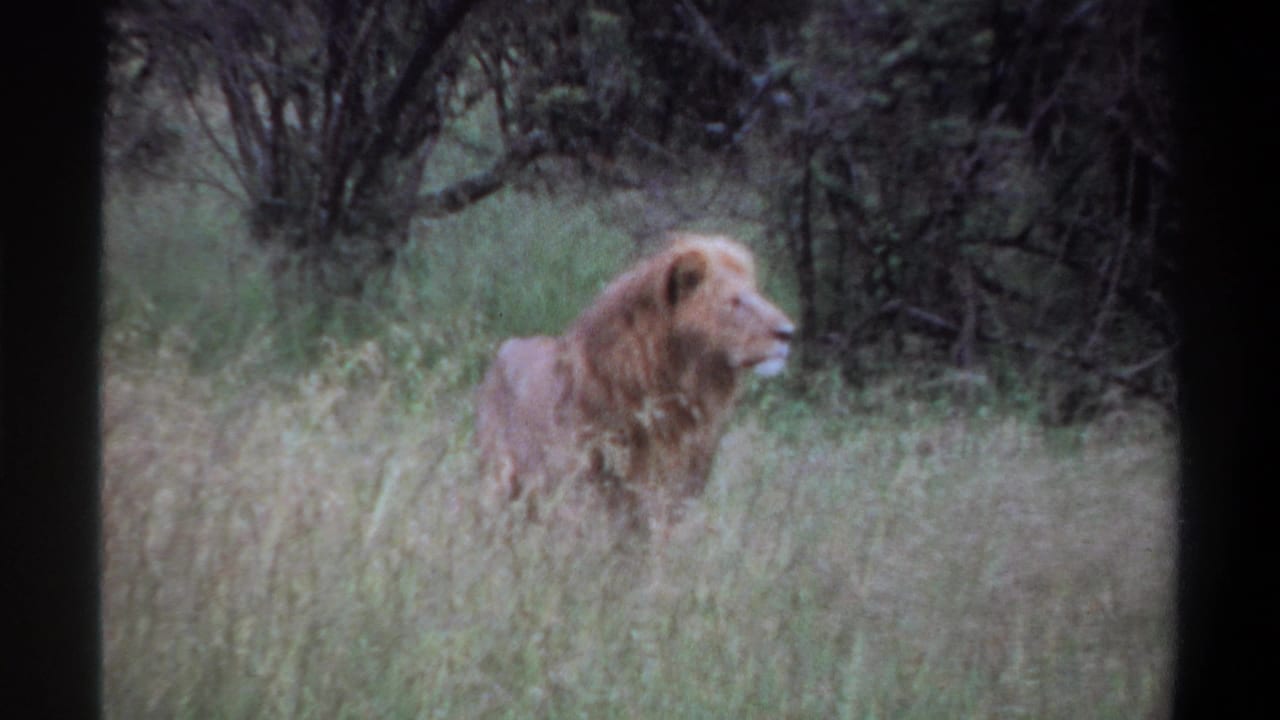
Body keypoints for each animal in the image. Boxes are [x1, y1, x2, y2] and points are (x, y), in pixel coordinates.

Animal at [475, 233, 795, 533]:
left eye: (755, 293)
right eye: (734, 301)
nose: (788, 332)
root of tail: (503, 351)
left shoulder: (675, 497)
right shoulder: (580, 497)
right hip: (498, 484)